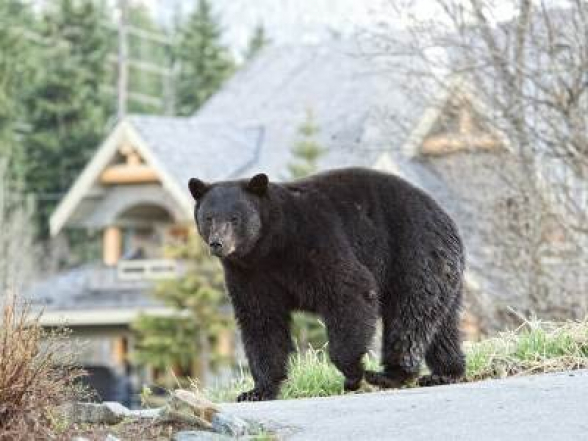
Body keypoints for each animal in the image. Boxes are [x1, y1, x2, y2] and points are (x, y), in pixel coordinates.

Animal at [188, 167, 464, 400]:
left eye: (234, 218)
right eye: (209, 217)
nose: (217, 243)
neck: (270, 245)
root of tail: (445, 217)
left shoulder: (315, 240)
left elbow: (350, 290)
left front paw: (353, 374)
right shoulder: (250, 274)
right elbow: (261, 321)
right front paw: (258, 390)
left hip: (414, 254)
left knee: (410, 315)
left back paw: (390, 374)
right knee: (442, 323)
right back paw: (446, 372)